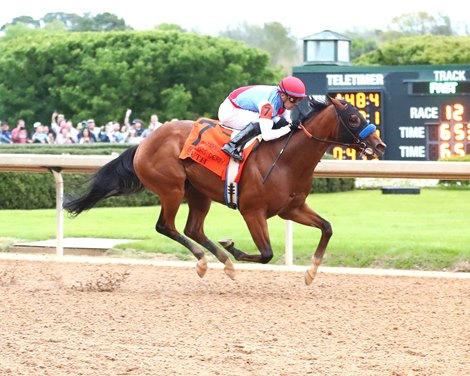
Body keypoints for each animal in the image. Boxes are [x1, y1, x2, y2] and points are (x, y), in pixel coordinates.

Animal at [63, 97, 386, 284]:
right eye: (354, 118)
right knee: (166, 226)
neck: (286, 159)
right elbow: (266, 253)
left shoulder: (292, 209)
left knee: (192, 229)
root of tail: (143, 143)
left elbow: (327, 228)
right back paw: (208, 260)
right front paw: (233, 246)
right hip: (171, 189)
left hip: (198, 192)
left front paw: (311, 271)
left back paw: (223, 262)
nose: (380, 145)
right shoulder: (252, 211)